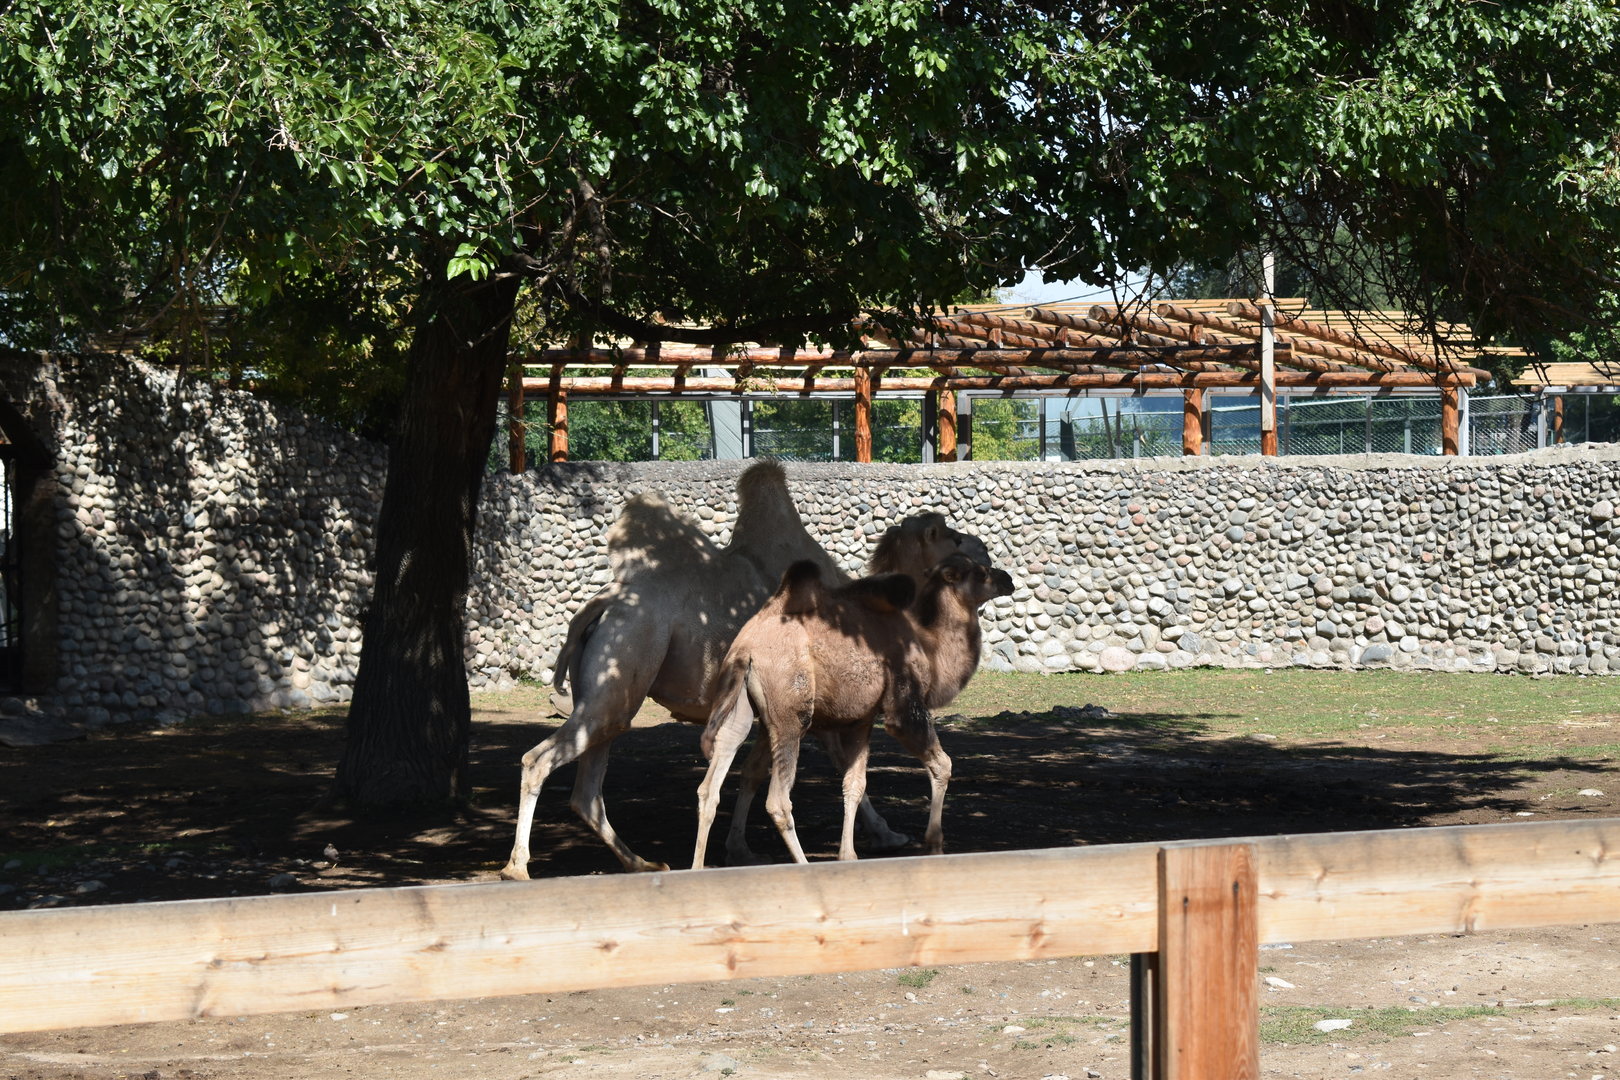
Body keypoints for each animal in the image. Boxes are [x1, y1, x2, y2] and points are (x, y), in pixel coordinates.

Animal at [692, 552, 1014, 869]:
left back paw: (703, 865)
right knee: (778, 801)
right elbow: (942, 764)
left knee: (712, 783)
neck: (928, 646)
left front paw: (848, 855)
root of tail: (746, 648)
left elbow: (853, 784)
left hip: (743, 705)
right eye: (981, 571)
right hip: (791, 716)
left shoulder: (861, 720)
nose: (1007, 579)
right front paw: (934, 844)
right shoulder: (903, 705)